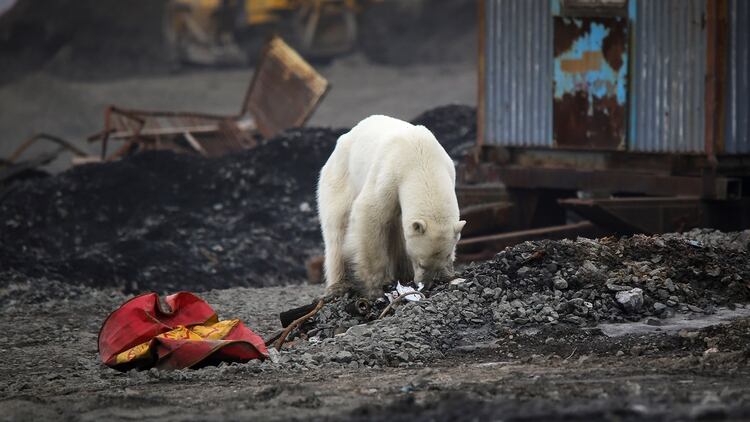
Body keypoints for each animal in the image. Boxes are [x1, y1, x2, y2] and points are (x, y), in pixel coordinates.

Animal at [316, 113, 464, 298]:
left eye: (445, 256)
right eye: (421, 262)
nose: (426, 285)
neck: (421, 158)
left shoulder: (448, 170)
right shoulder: (390, 173)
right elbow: (369, 213)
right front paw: (375, 286)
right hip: (340, 177)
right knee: (337, 228)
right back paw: (339, 285)